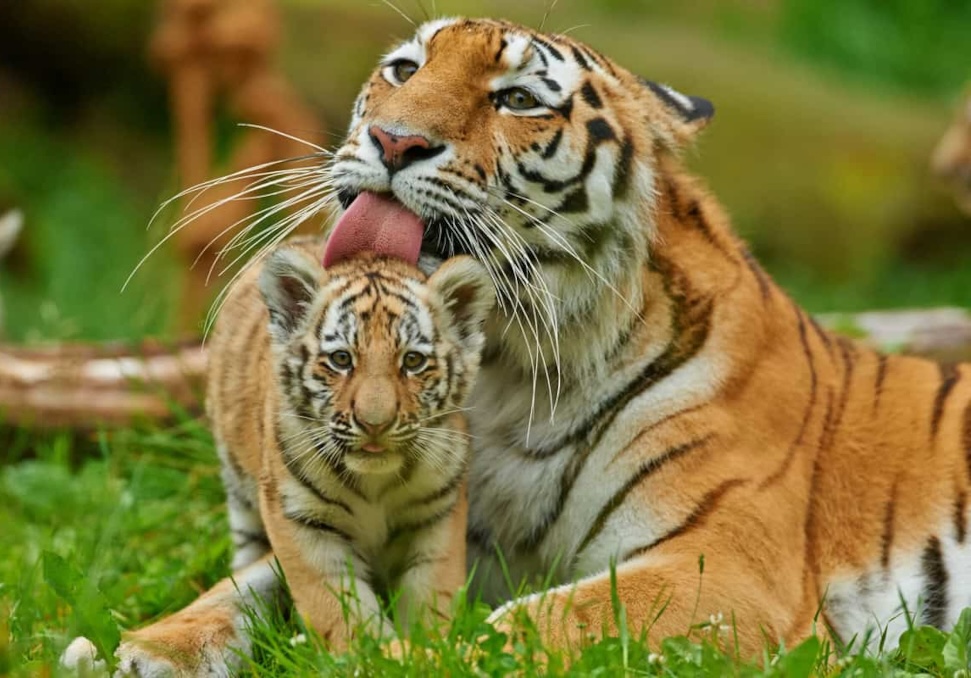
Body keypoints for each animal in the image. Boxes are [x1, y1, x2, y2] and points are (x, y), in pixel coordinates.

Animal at [63, 241, 495, 675]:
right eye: (341, 360)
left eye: (412, 361)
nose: (375, 424)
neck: (376, 480)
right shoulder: (303, 521)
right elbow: (338, 605)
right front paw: (373, 656)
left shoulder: (436, 514)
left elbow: (431, 592)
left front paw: (427, 650)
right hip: (241, 498)